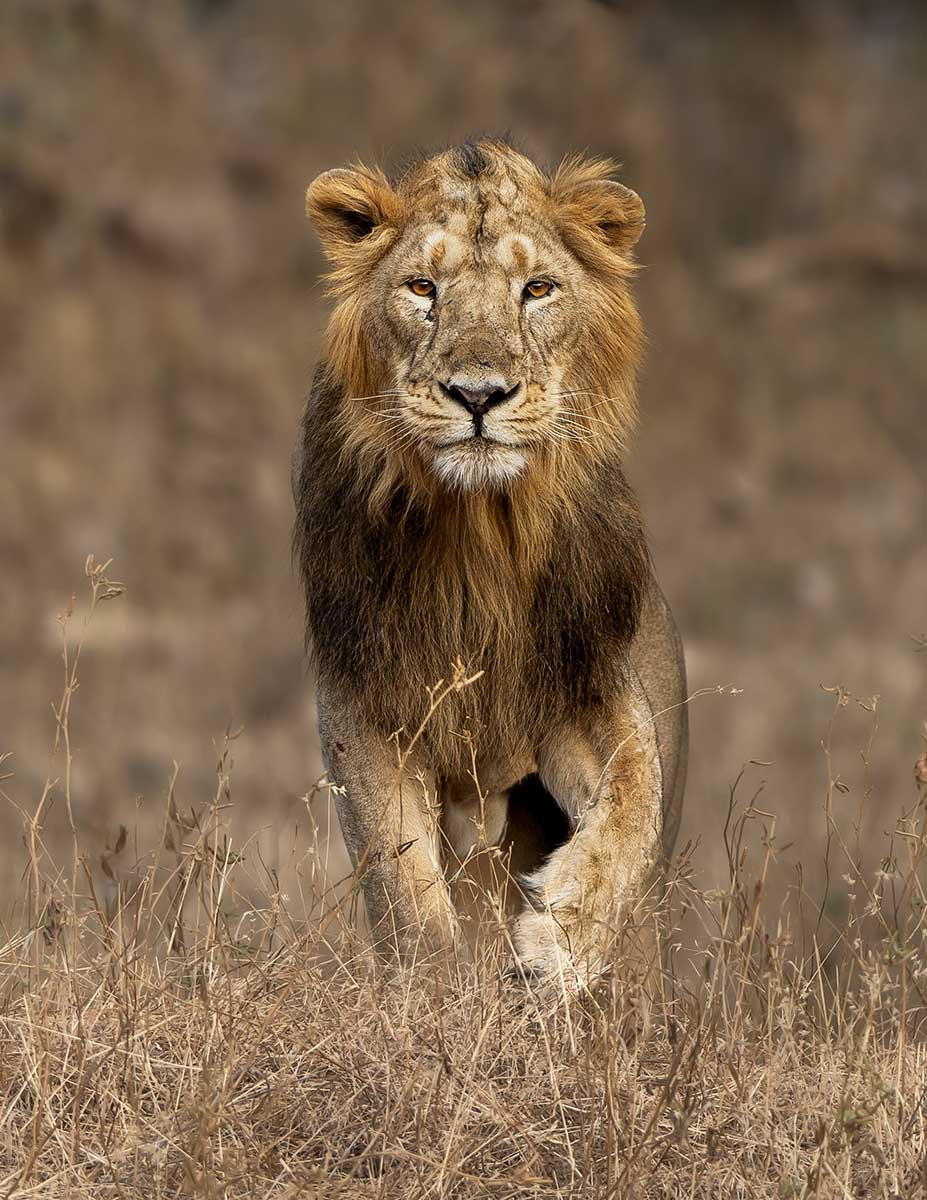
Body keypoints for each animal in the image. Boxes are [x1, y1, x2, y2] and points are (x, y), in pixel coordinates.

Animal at [292, 138, 688, 984]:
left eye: (536, 288)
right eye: (422, 287)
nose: (478, 395)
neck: (479, 535)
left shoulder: (587, 683)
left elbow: (632, 799)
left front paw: (561, 938)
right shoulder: (365, 706)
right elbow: (404, 888)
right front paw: (434, 996)